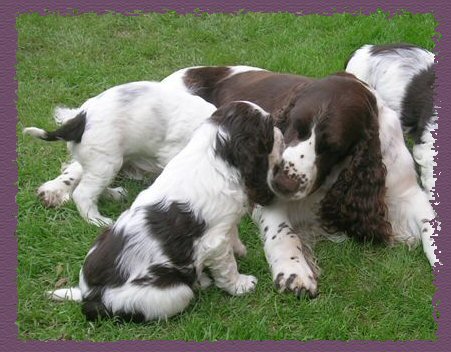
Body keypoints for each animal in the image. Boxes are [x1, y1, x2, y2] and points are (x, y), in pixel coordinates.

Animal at [23, 81, 218, 226]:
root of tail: (80, 118)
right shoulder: (173, 153)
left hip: (101, 162)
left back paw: (116, 195)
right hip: (105, 161)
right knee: (82, 193)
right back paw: (97, 220)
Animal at [47, 101, 284, 322]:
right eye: (269, 127)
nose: (281, 131)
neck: (214, 156)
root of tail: (90, 294)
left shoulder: (225, 222)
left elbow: (232, 234)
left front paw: (240, 250)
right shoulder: (214, 241)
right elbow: (228, 266)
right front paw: (241, 285)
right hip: (174, 293)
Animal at [160, 65, 438, 296]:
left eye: (332, 147)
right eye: (294, 126)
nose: (283, 183)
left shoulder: (406, 191)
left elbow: (429, 222)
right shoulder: (270, 200)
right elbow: (284, 233)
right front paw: (294, 270)